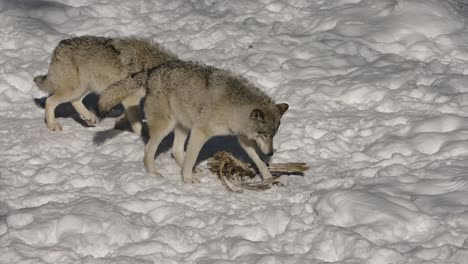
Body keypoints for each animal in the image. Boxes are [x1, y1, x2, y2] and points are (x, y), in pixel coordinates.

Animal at [32, 35, 176, 136]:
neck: (147, 67)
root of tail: (59, 46)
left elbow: (130, 116)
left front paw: (120, 123)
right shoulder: (130, 98)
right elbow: (137, 122)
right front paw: (139, 138)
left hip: (85, 88)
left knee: (75, 101)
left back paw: (89, 118)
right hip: (73, 90)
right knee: (50, 101)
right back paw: (53, 125)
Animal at [98, 60, 288, 183]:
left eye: (273, 135)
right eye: (265, 134)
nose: (271, 153)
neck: (233, 107)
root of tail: (152, 71)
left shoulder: (243, 138)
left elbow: (258, 160)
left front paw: (269, 178)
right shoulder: (200, 132)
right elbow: (192, 157)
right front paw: (188, 180)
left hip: (182, 127)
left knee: (175, 150)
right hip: (166, 127)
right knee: (149, 150)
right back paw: (154, 174)